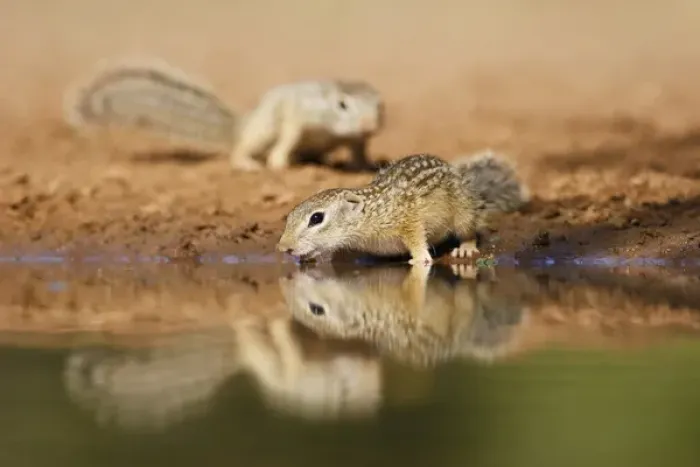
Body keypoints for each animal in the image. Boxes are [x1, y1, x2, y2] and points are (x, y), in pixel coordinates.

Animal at [64, 57, 385, 171]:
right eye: (342, 105)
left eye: (380, 106)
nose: (369, 123)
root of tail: (238, 128)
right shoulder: (298, 115)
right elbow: (289, 136)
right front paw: (278, 162)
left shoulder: (356, 138)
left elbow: (359, 149)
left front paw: (365, 164)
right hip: (260, 131)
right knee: (244, 148)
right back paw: (248, 162)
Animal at [276, 150, 530, 265]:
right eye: (288, 217)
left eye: (316, 218)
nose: (283, 248)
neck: (371, 214)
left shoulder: (408, 219)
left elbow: (416, 238)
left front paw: (420, 259)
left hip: (463, 212)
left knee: (469, 229)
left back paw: (465, 247)